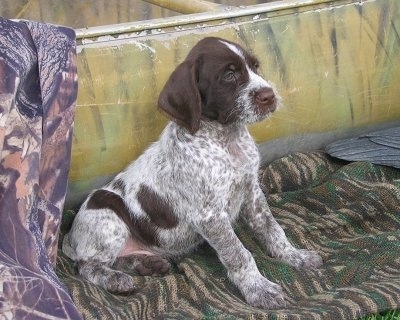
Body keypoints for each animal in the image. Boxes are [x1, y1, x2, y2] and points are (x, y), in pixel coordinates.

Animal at [63, 37, 324, 310]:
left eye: (255, 66)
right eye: (229, 75)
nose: (269, 95)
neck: (226, 140)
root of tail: (70, 236)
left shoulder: (252, 194)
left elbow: (272, 229)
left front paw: (295, 256)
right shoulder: (210, 216)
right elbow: (239, 253)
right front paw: (259, 289)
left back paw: (147, 264)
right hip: (108, 217)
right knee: (87, 266)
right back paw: (115, 280)